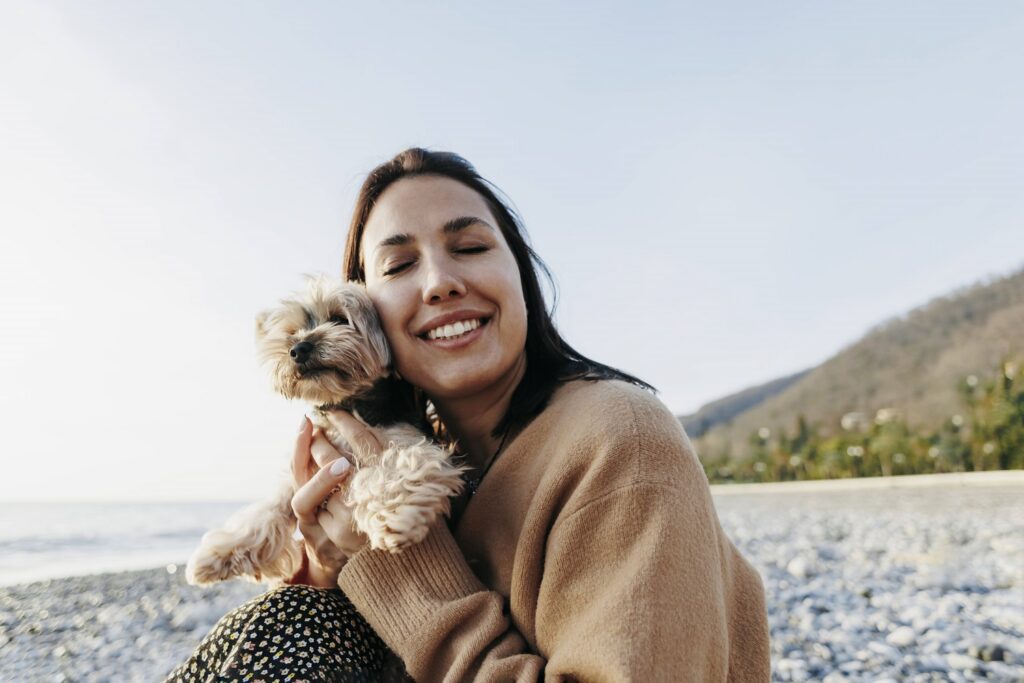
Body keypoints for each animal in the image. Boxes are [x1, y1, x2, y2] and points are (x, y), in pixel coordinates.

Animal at [186, 274, 466, 585]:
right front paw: (221, 552)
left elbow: (395, 469)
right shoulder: (302, 473)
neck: (346, 402)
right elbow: (269, 507)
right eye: (292, 332)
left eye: (339, 319)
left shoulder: (408, 441)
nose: (298, 349)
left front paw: (393, 514)